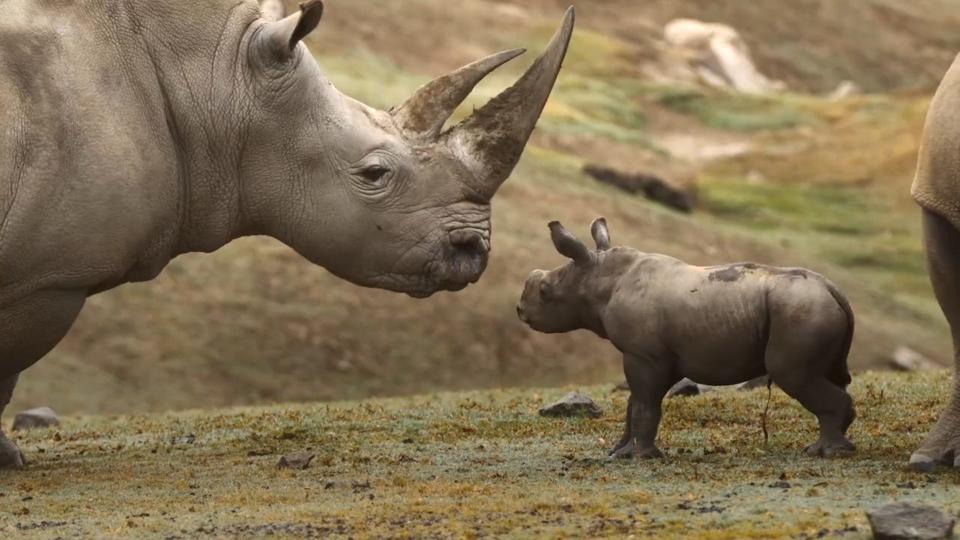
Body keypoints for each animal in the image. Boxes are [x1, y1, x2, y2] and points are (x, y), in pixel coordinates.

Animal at [0, 0, 572, 466]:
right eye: (374, 174)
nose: (473, 249)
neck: (217, 76)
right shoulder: (49, 277)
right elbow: (9, 365)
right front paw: (8, 462)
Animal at [516, 218, 856, 460]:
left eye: (545, 292)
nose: (520, 311)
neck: (598, 279)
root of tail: (833, 290)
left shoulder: (644, 355)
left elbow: (644, 403)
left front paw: (640, 456)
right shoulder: (657, 356)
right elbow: (636, 402)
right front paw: (618, 452)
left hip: (801, 312)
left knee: (793, 374)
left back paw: (824, 452)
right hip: (809, 308)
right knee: (823, 375)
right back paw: (837, 444)